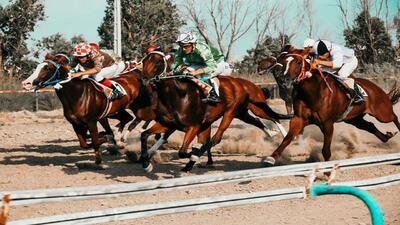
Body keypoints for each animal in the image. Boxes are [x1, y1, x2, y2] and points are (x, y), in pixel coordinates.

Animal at [139, 51, 290, 171]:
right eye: (144, 61)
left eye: (158, 62)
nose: (144, 79)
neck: (178, 95)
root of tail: (244, 84)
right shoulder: (169, 124)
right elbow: (145, 135)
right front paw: (146, 163)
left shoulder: (194, 126)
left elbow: (183, 151)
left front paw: (195, 155)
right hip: (242, 112)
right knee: (257, 120)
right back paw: (272, 133)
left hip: (234, 112)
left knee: (217, 138)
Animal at [262, 51, 400, 166]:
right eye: (283, 63)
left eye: (298, 62)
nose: (284, 80)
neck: (313, 92)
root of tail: (376, 87)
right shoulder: (299, 119)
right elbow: (287, 138)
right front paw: (271, 158)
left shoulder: (327, 123)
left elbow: (326, 150)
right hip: (354, 119)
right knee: (370, 126)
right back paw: (386, 136)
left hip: (382, 113)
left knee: (393, 116)